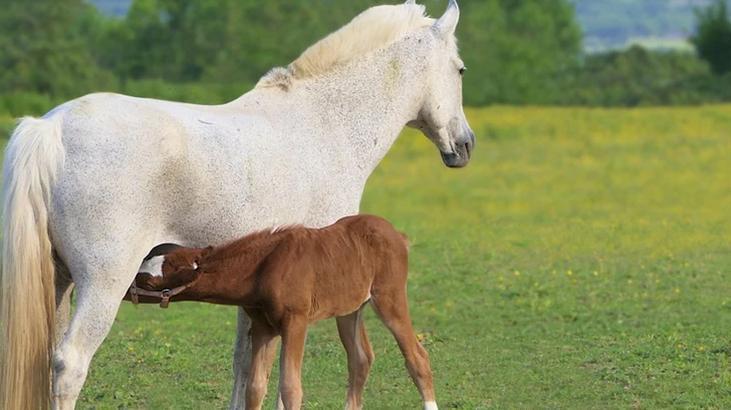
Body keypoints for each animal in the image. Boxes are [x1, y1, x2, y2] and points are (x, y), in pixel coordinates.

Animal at [133, 215, 434, 410]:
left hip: (389, 298)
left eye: (148, 281)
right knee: (360, 359)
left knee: (417, 357)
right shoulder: (264, 327)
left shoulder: (296, 320)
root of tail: (397, 235)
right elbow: (255, 387)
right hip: (349, 308)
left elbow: (290, 388)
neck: (264, 268)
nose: (128, 287)